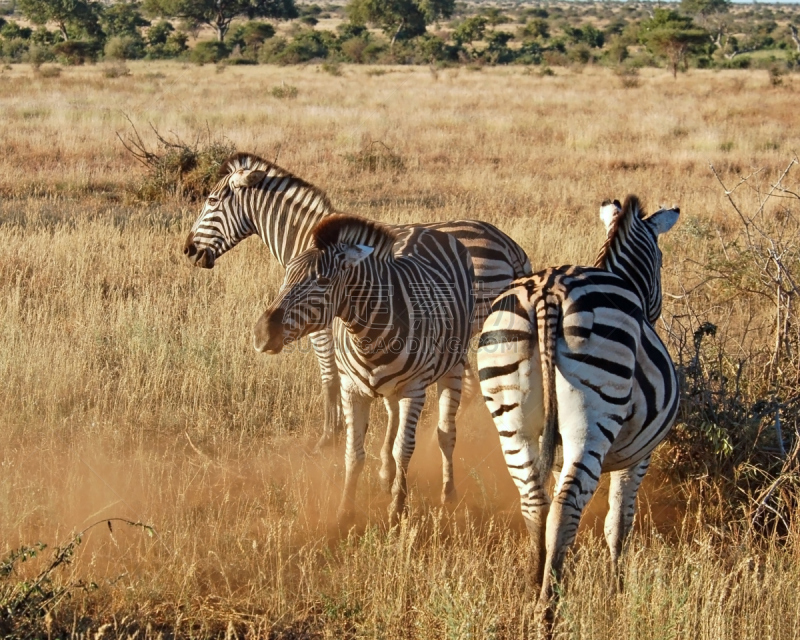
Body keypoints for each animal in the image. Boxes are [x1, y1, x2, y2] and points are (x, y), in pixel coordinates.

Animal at [183, 151, 532, 450]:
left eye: (211, 201)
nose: (188, 250)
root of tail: (508, 244)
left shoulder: (322, 328)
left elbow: (330, 379)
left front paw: (329, 437)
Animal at [253, 215, 472, 524]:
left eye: (322, 281)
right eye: (286, 275)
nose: (261, 334)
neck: (367, 335)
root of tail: (430, 230)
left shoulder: (414, 390)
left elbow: (405, 449)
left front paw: (397, 510)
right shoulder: (351, 389)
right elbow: (354, 453)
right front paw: (345, 512)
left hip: (454, 365)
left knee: (446, 433)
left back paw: (448, 493)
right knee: (393, 418)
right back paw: (386, 476)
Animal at [478, 198, 680, 624]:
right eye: (660, 260)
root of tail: (548, 290)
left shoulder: (553, 453)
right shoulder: (638, 456)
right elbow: (619, 522)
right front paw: (617, 592)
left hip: (510, 413)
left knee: (536, 504)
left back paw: (534, 589)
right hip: (592, 420)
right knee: (566, 507)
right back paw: (548, 609)